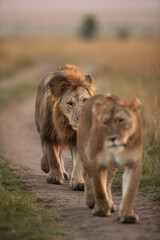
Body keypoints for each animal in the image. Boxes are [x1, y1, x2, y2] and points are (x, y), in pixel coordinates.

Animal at [77, 93, 143, 223]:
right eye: (105, 122)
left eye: (121, 120)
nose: (112, 138)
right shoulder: (97, 162)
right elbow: (99, 187)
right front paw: (101, 209)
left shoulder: (134, 164)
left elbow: (130, 191)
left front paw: (127, 215)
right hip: (85, 152)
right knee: (87, 175)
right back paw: (91, 201)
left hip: (112, 167)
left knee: (107, 183)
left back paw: (110, 204)